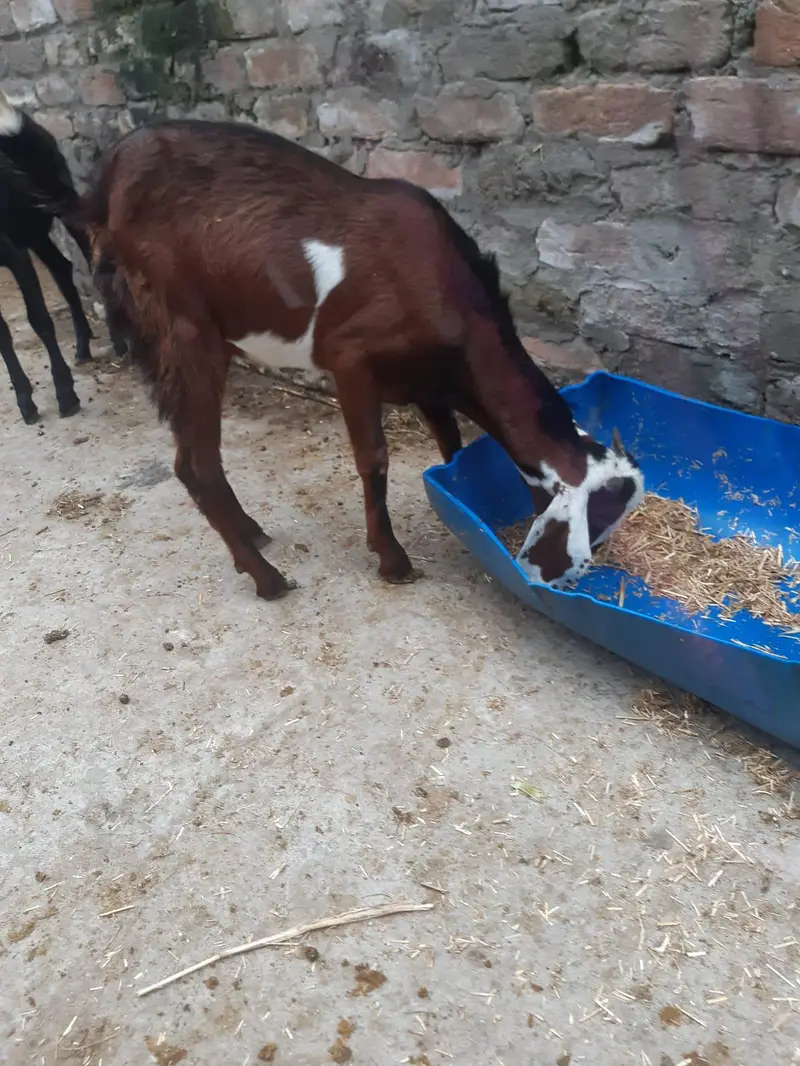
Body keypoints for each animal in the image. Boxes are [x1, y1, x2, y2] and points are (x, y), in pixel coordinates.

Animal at [0, 90, 99, 424]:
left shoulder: (13, 253)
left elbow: (39, 319)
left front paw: (66, 395)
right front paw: (25, 401)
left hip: (61, 200)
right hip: (34, 231)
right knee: (61, 267)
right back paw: (82, 345)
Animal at [79, 118, 644, 601]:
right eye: (599, 521)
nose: (565, 580)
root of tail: (106, 179)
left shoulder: (429, 383)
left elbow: (453, 447)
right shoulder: (350, 357)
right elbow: (374, 458)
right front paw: (393, 560)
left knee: (194, 459)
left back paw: (253, 535)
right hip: (181, 329)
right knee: (196, 463)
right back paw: (267, 578)